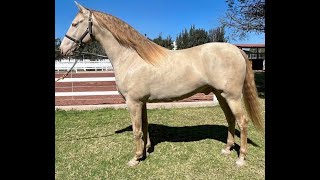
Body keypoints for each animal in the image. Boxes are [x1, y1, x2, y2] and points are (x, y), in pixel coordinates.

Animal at [58, 1, 264, 167]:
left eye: (75, 23)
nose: (62, 49)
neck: (130, 57)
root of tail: (236, 50)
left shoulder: (133, 102)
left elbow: (137, 130)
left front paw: (135, 158)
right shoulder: (141, 102)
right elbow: (144, 126)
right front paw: (145, 151)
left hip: (232, 96)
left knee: (242, 122)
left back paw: (241, 158)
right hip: (221, 95)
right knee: (230, 119)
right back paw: (227, 148)